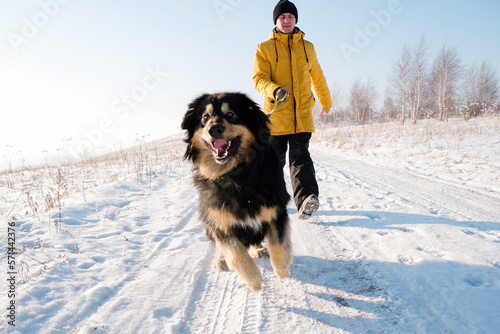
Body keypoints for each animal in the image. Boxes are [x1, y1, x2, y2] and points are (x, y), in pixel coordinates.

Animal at [182, 92, 292, 290]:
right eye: (205, 117)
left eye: (231, 114)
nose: (214, 129)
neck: (236, 174)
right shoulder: (217, 219)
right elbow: (235, 253)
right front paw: (254, 280)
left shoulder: (276, 208)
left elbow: (280, 243)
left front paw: (282, 270)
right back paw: (221, 261)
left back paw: (258, 249)